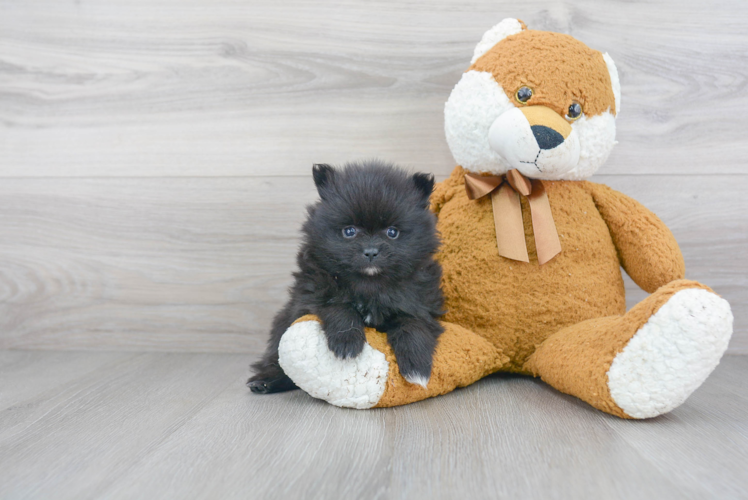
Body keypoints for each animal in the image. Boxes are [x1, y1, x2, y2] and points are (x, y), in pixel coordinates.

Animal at [248, 160, 444, 394]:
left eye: (392, 232)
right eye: (349, 231)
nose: (370, 252)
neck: (369, 285)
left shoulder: (421, 306)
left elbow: (413, 326)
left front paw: (417, 366)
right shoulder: (311, 296)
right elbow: (339, 306)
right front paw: (347, 343)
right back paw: (266, 381)